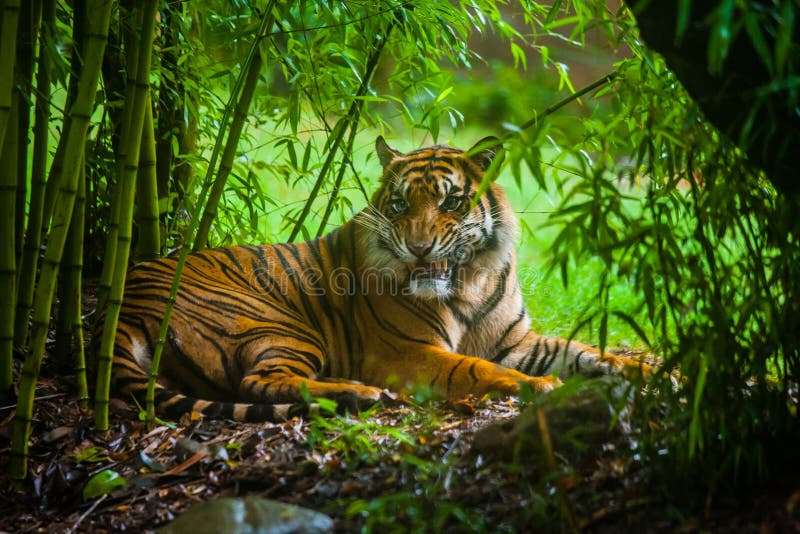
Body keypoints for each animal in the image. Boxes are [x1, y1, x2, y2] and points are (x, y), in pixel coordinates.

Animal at [109, 137, 648, 422]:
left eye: (451, 201)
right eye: (400, 203)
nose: (419, 247)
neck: (469, 278)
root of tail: (124, 299)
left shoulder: (515, 341)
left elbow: (588, 352)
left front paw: (651, 371)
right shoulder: (405, 352)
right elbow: (476, 369)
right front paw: (542, 385)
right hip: (277, 324)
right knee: (258, 382)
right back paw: (358, 392)